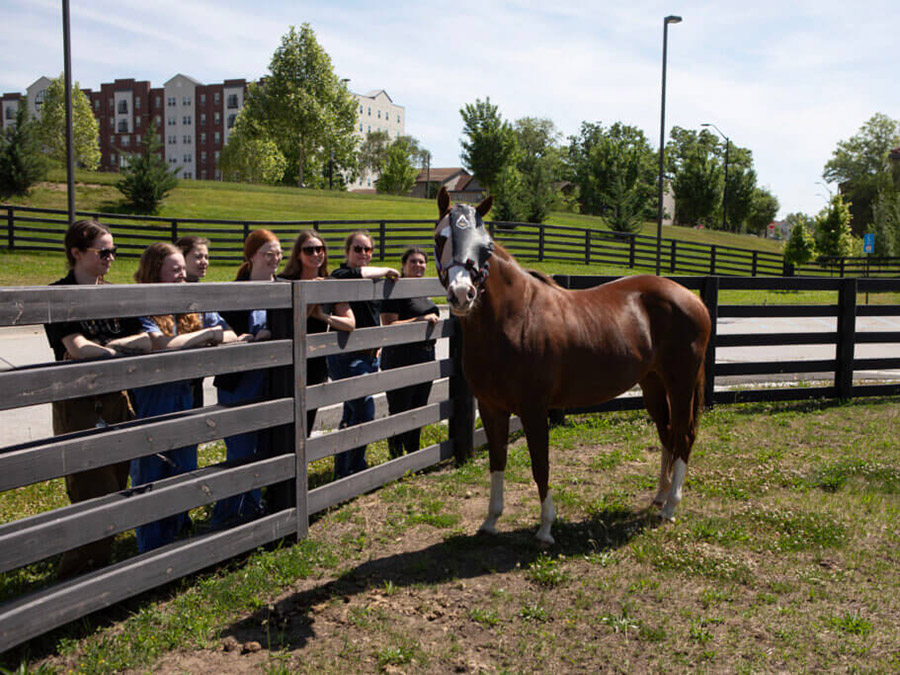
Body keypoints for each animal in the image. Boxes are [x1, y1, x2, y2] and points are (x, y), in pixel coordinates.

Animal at [434, 187, 712, 546]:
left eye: (487, 246)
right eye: (441, 238)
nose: (462, 294)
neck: (514, 317)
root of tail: (693, 298)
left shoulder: (534, 409)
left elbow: (541, 465)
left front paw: (545, 528)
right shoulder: (492, 408)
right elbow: (497, 462)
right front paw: (491, 520)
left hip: (681, 384)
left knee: (684, 434)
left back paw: (671, 507)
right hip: (653, 383)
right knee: (667, 434)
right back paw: (661, 496)